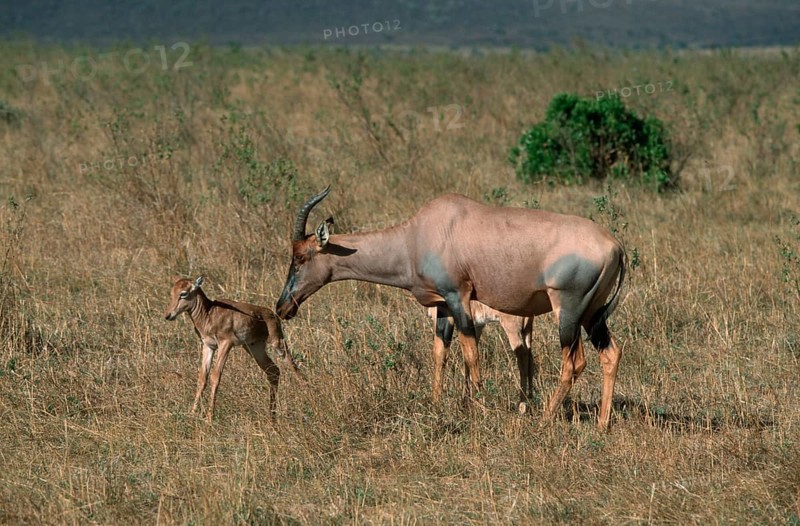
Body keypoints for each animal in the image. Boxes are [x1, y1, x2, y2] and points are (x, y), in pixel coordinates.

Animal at [164, 276, 303, 422]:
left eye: (183, 293)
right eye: (172, 292)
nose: (168, 315)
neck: (209, 313)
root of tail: (273, 315)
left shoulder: (226, 344)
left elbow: (215, 376)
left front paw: (209, 417)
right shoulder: (208, 346)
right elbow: (202, 377)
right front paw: (192, 412)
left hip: (278, 343)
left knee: (293, 366)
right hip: (254, 348)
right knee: (273, 370)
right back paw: (272, 415)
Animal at [276, 187, 626, 430]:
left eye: (300, 257)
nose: (282, 307)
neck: (418, 233)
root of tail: (616, 245)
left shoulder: (459, 296)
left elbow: (470, 352)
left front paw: (478, 408)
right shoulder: (443, 304)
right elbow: (440, 352)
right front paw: (437, 404)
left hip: (568, 311)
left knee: (574, 362)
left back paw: (544, 419)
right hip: (592, 315)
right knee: (610, 353)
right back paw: (601, 424)